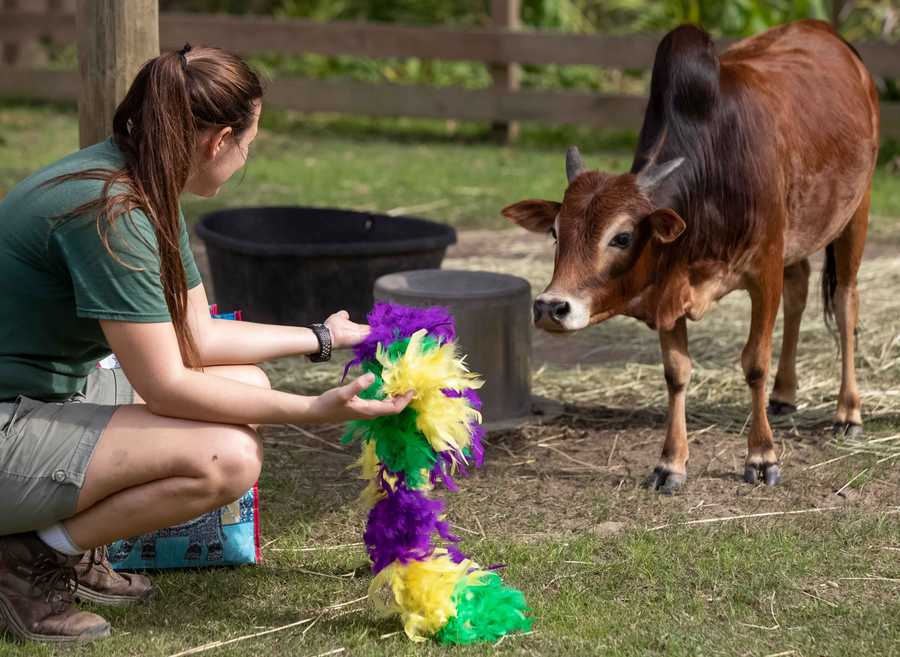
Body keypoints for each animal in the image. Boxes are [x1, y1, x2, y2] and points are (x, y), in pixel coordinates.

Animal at [506, 20, 880, 492]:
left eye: (622, 237)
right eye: (555, 233)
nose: (550, 307)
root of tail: (831, 36)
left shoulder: (763, 270)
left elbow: (754, 362)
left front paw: (762, 456)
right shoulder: (670, 283)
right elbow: (676, 372)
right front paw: (671, 464)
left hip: (855, 211)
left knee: (846, 302)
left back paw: (848, 412)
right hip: (800, 231)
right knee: (799, 290)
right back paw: (784, 394)